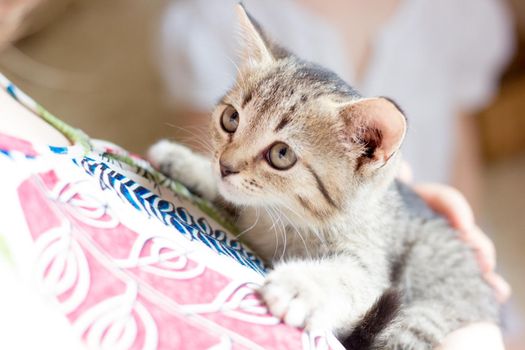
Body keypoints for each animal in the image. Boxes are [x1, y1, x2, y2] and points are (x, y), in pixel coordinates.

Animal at [148, 6, 500, 350]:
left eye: (281, 154)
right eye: (230, 119)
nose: (225, 165)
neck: (285, 220)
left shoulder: (373, 265)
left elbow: (351, 278)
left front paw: (299, 286)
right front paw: (182, 161)